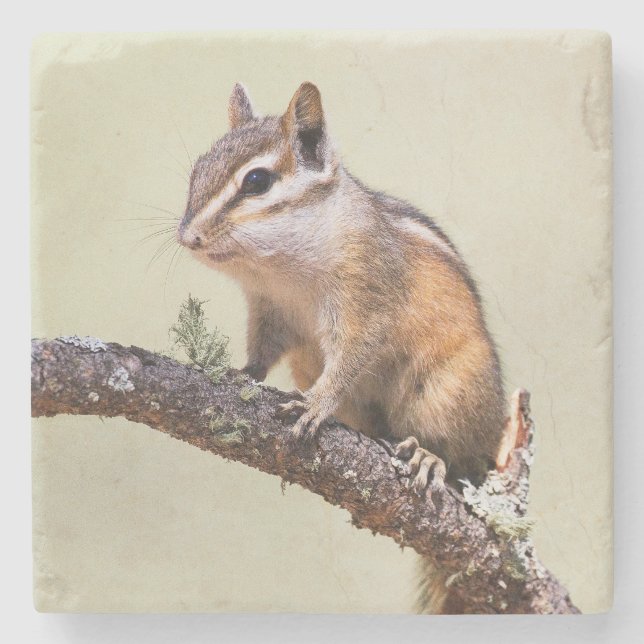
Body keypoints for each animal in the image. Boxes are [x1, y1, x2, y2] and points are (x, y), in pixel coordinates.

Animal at [177, 82, 507, 613]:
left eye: (256, 182)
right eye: (197, 170)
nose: (187, 237)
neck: (281, 268)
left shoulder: (364, 301)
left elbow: (351, 358)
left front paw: (315, 404)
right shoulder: (268, 310)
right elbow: (262, 351)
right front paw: (241, 374)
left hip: (451, 392)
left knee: (461, 463)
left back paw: (429, 457)